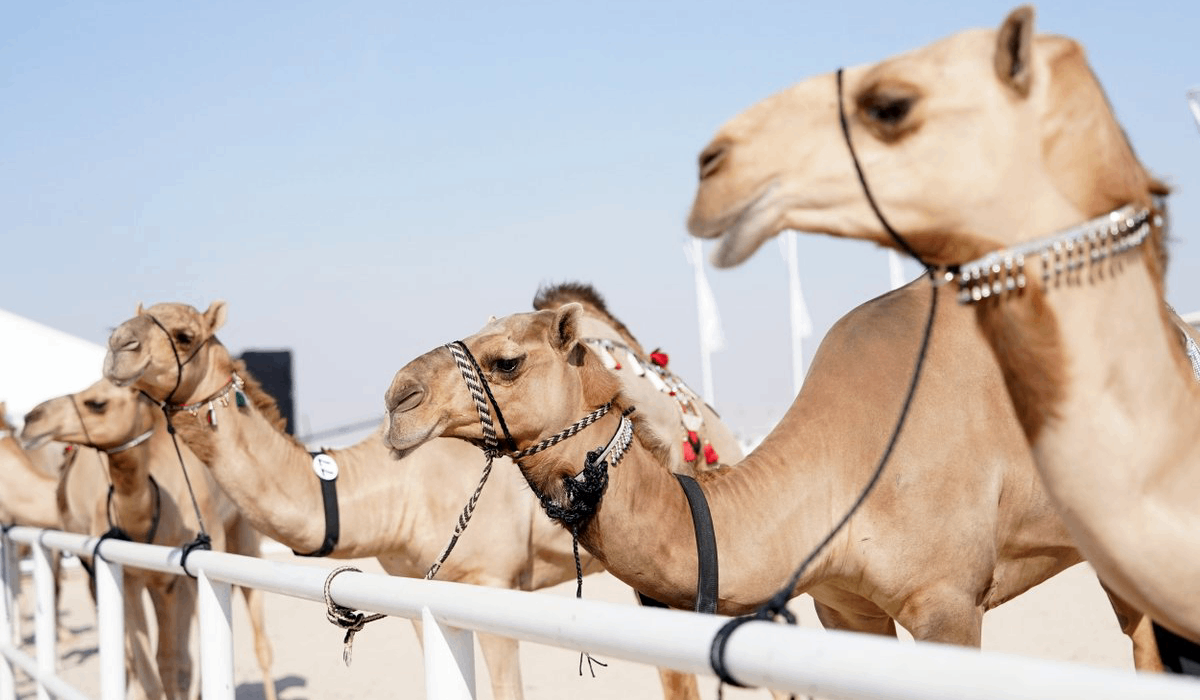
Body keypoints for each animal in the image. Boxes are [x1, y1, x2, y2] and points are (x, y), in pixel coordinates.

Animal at [22, 380, 278, 700]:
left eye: (97, 403)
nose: (31, 419)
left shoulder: (168, 579)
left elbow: (167, 661)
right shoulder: (128, 576)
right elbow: (146, 669)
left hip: (240, 534)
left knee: (257, 643)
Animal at [100, 294, 742, 700]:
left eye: (183, 334)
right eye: (136, 321)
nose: (116, 345)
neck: (395, 492)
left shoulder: (493, 584)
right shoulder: (415, 588)